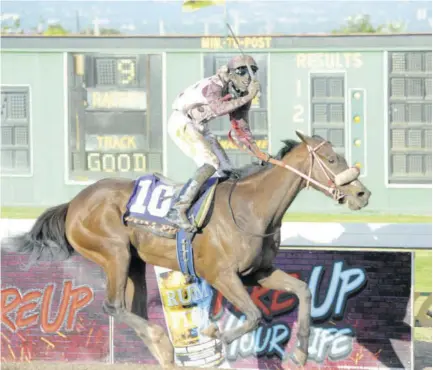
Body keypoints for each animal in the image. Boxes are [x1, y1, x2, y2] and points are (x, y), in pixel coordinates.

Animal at [1, 130, 370, 368]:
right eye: (331, 158)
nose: (362, 194)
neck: (251, 208)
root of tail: (74, 203)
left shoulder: (258, 273)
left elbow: (303, 291)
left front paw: (301, 352)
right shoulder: (222, 275)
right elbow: (253, 315)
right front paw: (213, 335)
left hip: (135, 263)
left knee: (134, 309)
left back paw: (163, 350)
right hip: (114, 253)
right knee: (113, 306)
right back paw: (162, 339)